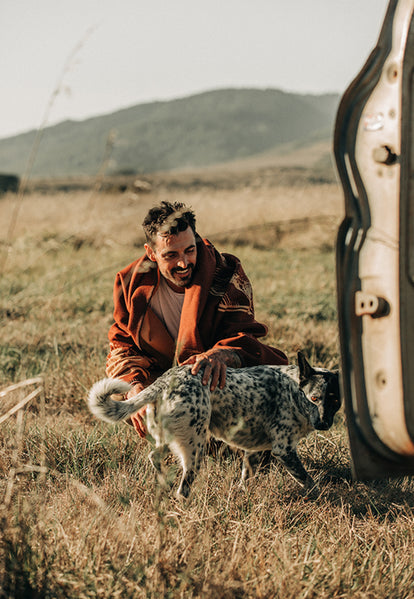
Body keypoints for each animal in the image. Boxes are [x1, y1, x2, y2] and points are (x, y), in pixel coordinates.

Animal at [87, 354, 340, 500]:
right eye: (314, 398)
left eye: (336, 401)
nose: (324, 424)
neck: (293, 389)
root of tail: (166, 380)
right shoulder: (284, 450)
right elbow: (310, 482)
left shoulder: (253, 451)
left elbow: (246, 477)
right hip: (196, 447)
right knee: (183, 488)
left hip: (172, 437)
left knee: (154, 456)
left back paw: (163, 484)